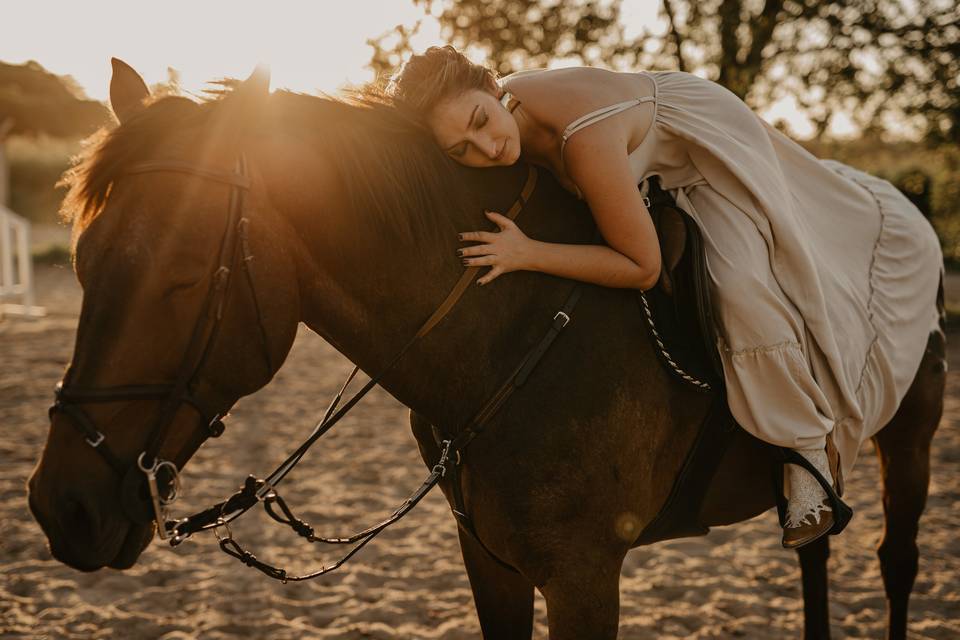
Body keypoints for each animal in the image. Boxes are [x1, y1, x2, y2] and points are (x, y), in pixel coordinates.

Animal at [28, 61, 944, 640]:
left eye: (183, 278)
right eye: (81, 264)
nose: (59, 508)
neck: (511, 333)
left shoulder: (584, 574)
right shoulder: (490, 561)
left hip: (912, 437)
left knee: (896, 562)